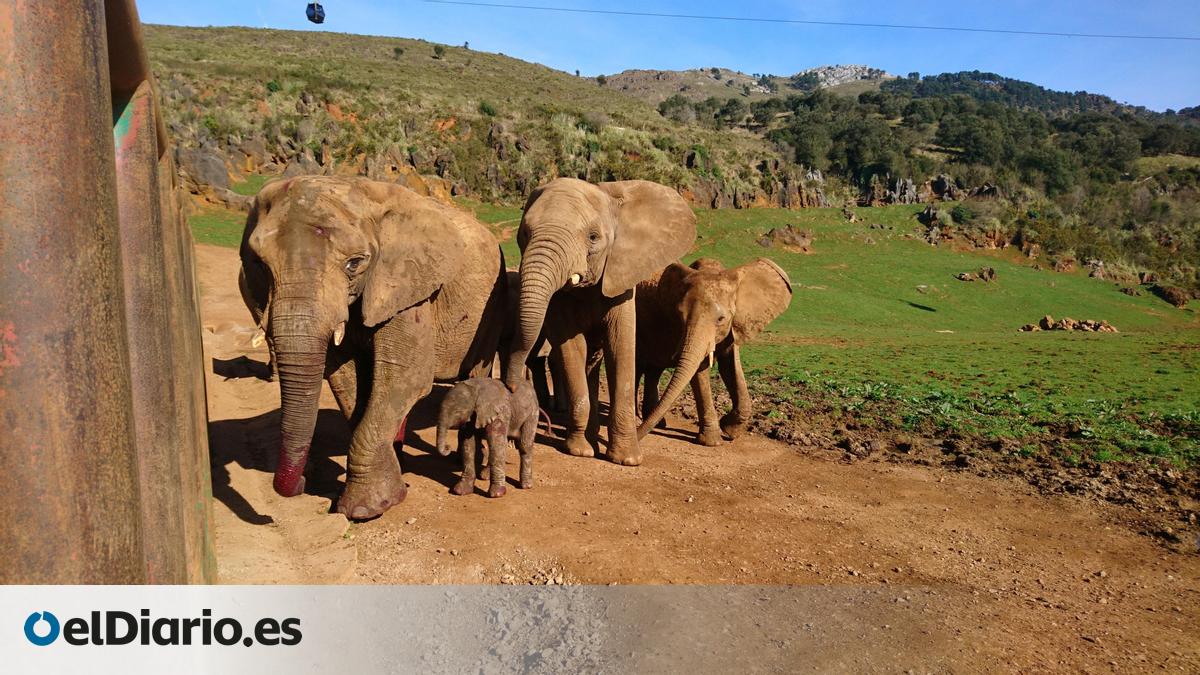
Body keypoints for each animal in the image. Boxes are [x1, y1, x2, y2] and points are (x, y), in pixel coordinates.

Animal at [238, 176, 506, 520]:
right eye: (259, 264)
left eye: (355, 264)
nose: (301, 483)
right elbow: (347, 379)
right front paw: (385, 489)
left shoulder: (407, 288)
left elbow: (407, 378)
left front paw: (364, 509)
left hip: (493, 305)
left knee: (475, 374)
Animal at [503, 178, 696, 466]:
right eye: (525, 233)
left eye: (593, 237)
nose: (513, 389)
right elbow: (572, 348)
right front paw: (580, 451)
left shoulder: (621, 278)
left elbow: (620, 345)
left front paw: (627, 459)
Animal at [635, 257, 793, 445]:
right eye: (680, 316)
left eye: (721, 319)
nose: (637, 438)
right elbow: (699, 371)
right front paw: (712, 442)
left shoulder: (734, 325)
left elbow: (730, 367)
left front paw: (730, 430)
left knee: (653, 370)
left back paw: (657, 424)